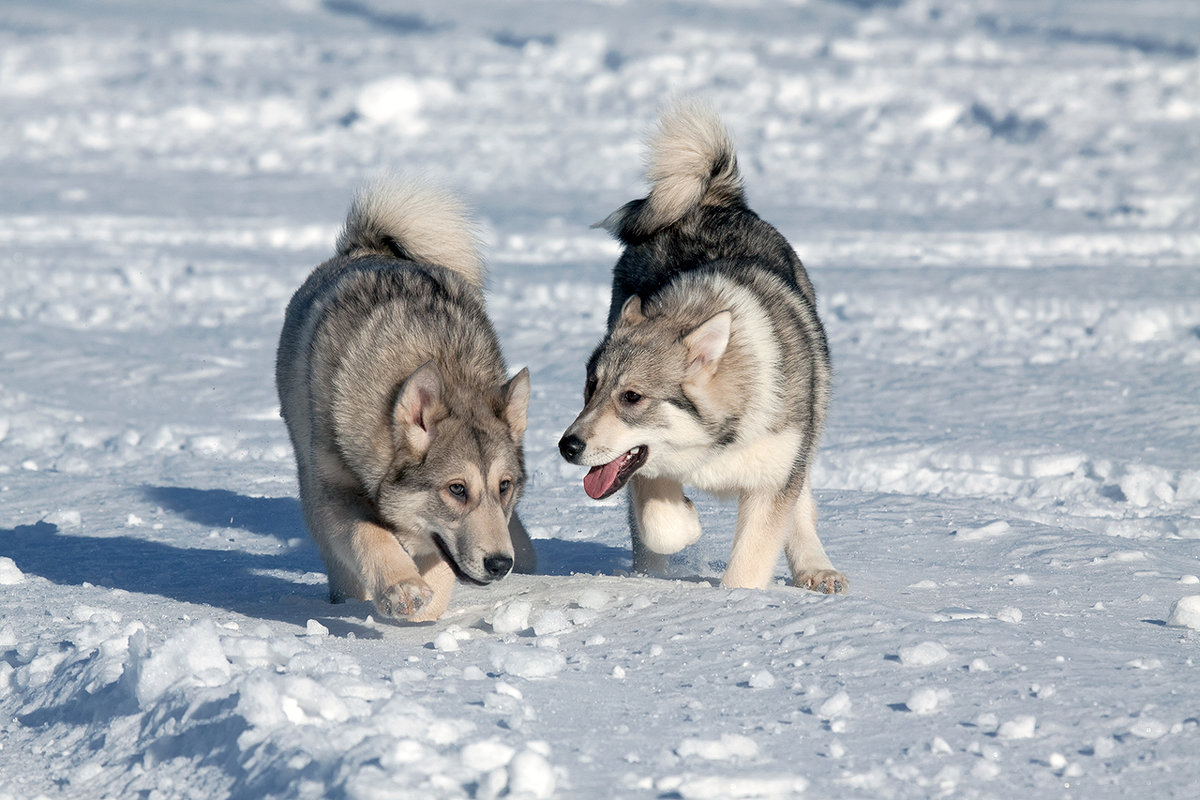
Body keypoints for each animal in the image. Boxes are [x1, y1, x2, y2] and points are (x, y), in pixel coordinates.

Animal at [276, 176, 535, 623]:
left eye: (504, 486)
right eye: (456, 489)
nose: (500, 564)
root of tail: (367, 247)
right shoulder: (334, 491)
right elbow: (369, 534)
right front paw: (401, 588)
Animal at [559, 100, 844, 594]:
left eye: (631, 396)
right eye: (590, 389)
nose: (567, 445)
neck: (715, 443)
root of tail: (710, 199)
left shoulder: (773, 479)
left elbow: (749, 565)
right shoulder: (641, 467)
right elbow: (661, 525)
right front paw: (687, 522)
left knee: (804, 506)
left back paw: (817, 567)